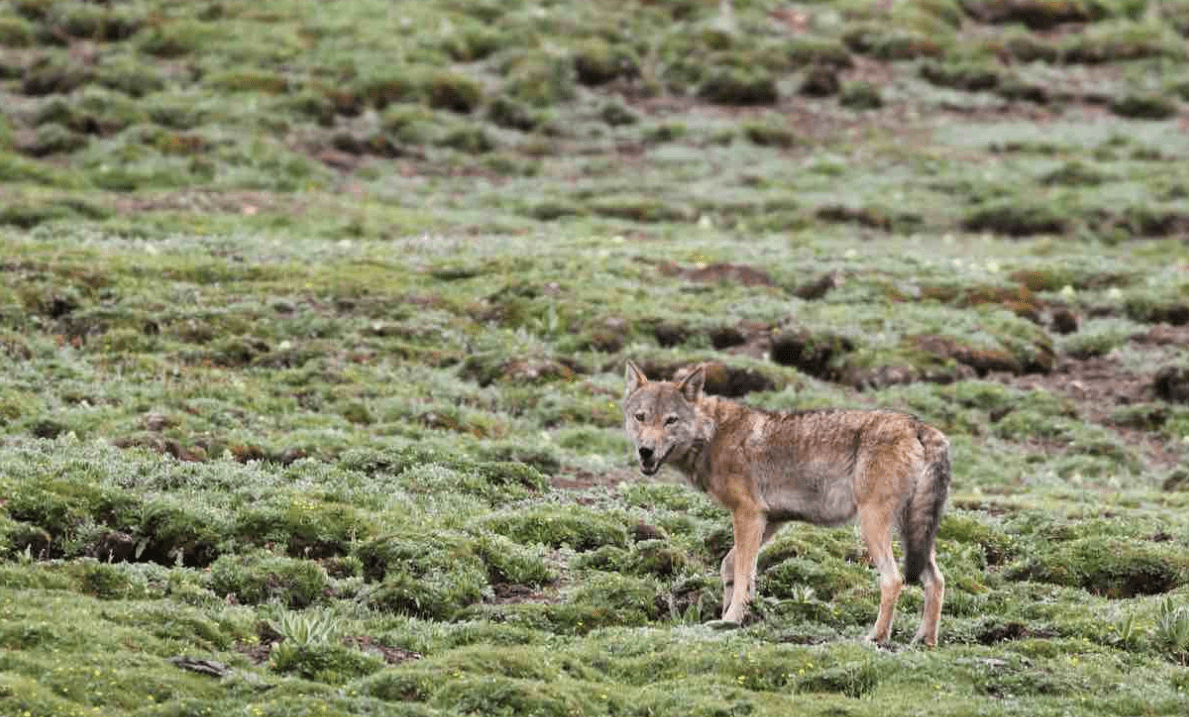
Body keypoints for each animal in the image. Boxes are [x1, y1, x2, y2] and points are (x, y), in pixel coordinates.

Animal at [623, 361, 946, 646]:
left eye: (671, 420)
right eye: (640, 417)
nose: (645, 451)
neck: (712, 436)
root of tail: (918, 425)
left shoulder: (748, 514)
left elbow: (743, 572)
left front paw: (731, 619)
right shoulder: (770, 519)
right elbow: (731, 566)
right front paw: (734, 614)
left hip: (873, 525)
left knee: (893, 580)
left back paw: (876, 637)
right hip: (912, 533)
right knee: (937, 580)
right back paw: (925, 640)